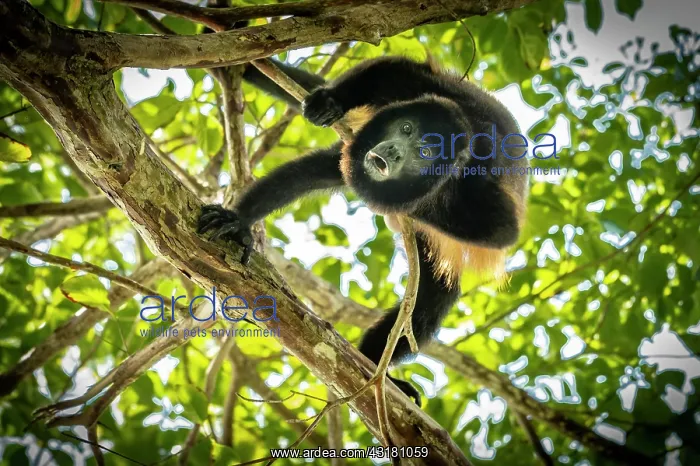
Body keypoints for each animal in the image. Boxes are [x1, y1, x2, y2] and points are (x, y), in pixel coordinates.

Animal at [198, 56, 529, 405]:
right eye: (407, 128)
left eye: (425, 152)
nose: (394, 151)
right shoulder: (429, 92)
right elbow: (390, 69)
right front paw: (330, 102)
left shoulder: (477, 182)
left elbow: (502, 231)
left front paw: (405, 199)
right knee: (314, 170)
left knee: (431, 299)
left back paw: (378, 373)